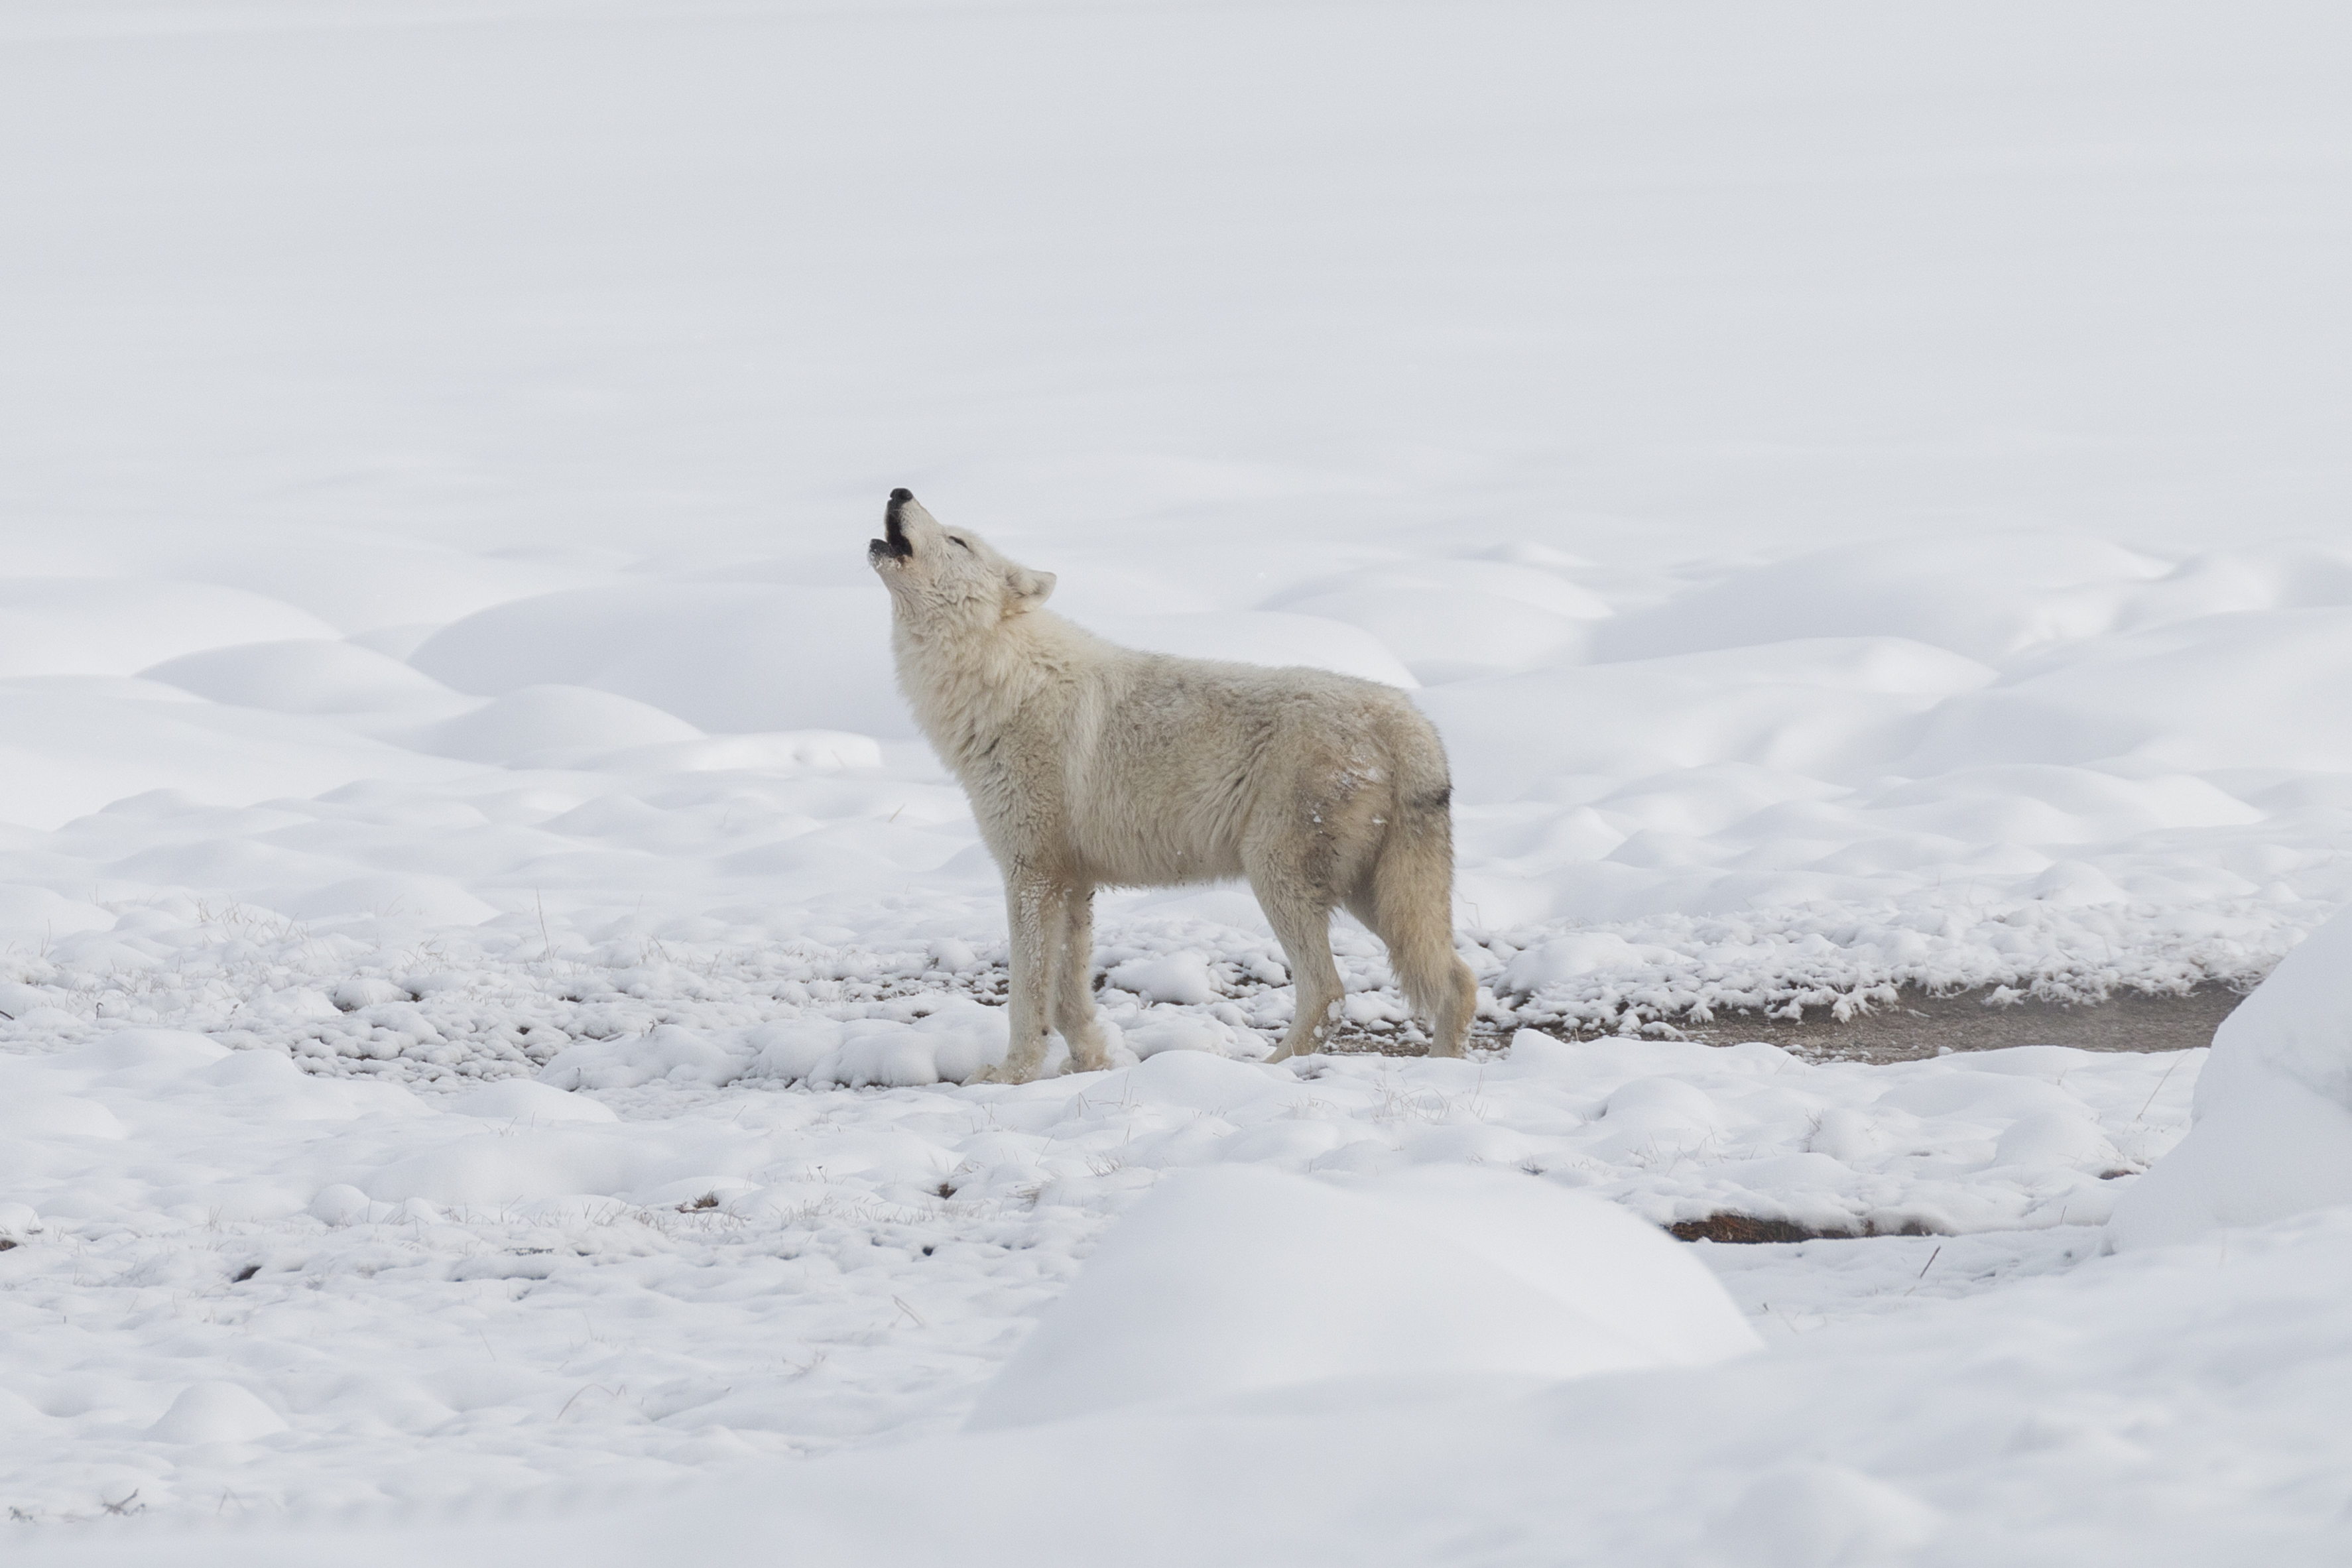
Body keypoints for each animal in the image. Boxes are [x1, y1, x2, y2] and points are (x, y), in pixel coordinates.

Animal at [868, 488, 1479, 1083]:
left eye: (958, 541)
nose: (899, 490)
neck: (1002, 679)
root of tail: (1408, 721)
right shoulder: (1071, 882)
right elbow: (1068, 997)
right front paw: (1090, 1063)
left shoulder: (1031, 875)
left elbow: (1027, 995)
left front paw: (1009, 1075)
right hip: (1370, 896)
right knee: (1457, 979)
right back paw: (1442, 1072)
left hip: (1279, 879)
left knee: (1329, 991)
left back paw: (1268, 1073)